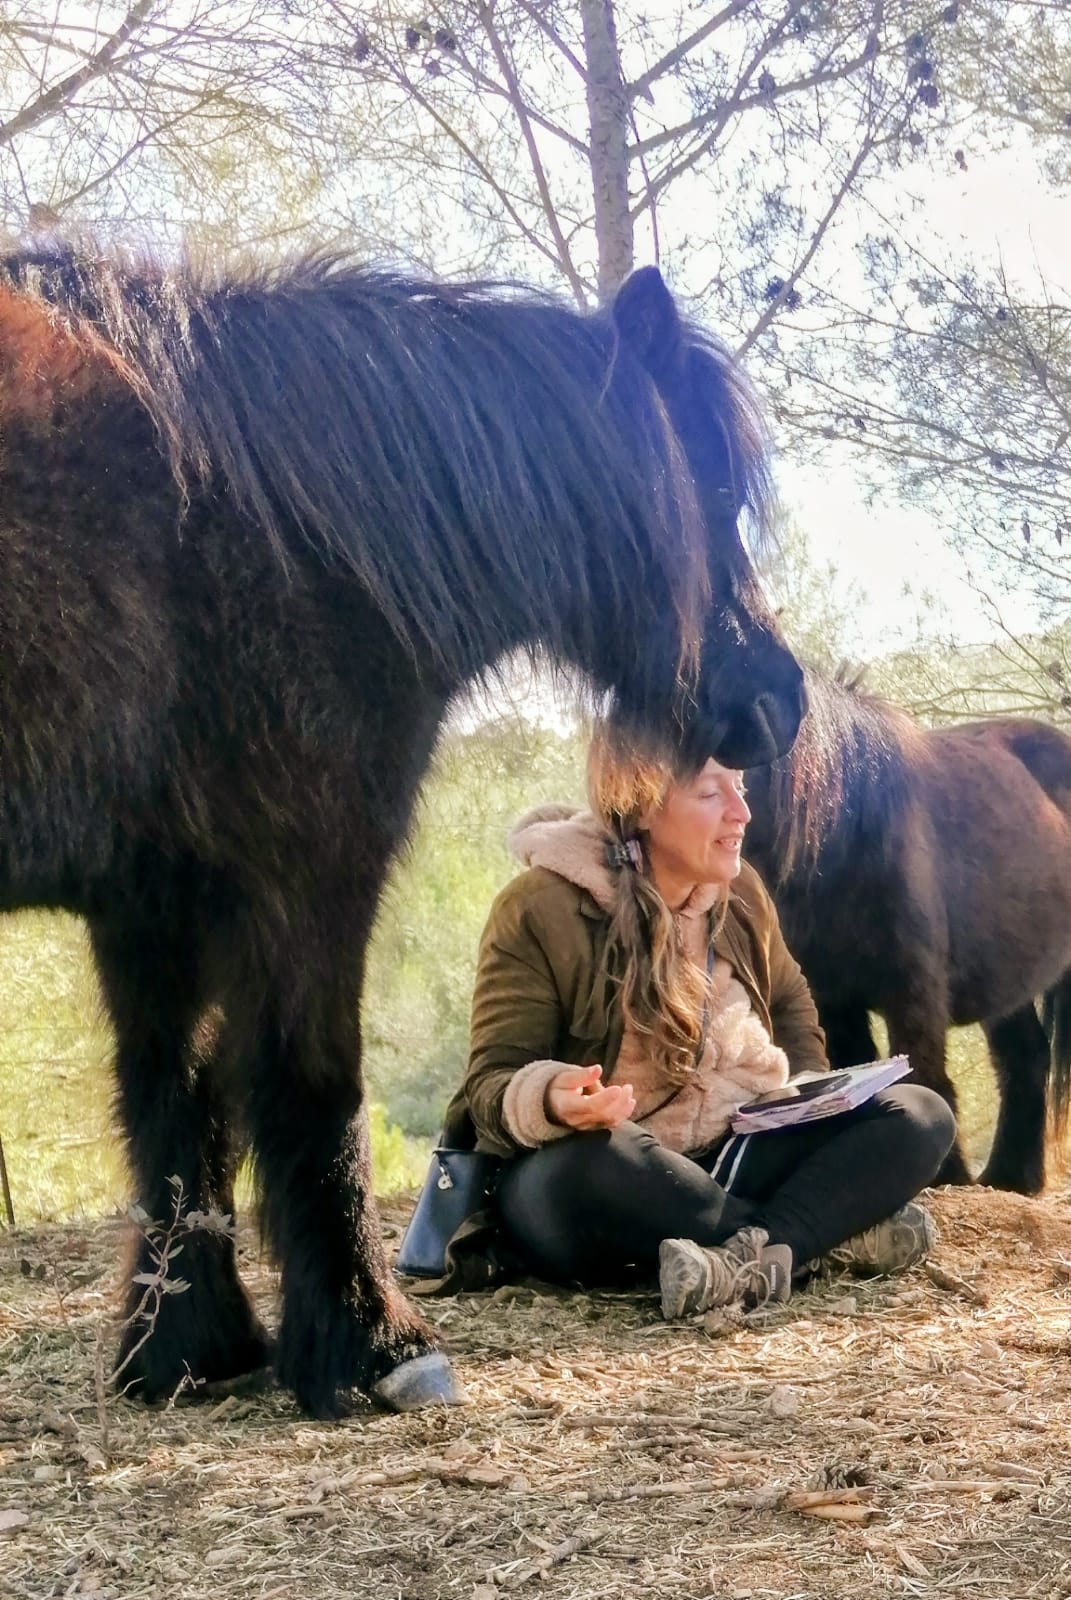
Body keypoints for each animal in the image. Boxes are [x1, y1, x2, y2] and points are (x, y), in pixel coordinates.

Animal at [0, 245, 804, 1417]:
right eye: (704, 485)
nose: (780, 700)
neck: (282, 525)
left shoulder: (153, 903)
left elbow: (172, 1104)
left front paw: (185, 1346)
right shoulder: (307, 876)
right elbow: (311, 1086)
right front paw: (371, 1341)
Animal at [743, 670, 1071, 1194]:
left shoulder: (913, 987)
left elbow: (923, 1070)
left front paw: (944, 1174)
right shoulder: (834, 998)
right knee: (1025, 1057)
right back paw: (1009, 1177)